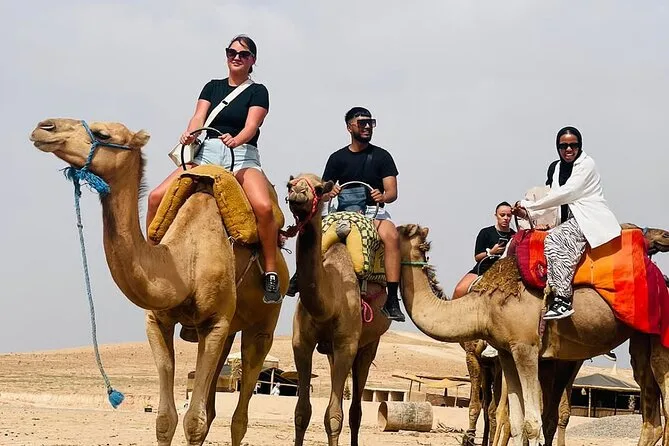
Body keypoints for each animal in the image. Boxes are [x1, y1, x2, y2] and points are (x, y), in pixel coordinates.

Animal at [30, 118, 289, 446]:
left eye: (103, 133)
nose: (44, 127)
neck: (184, 263)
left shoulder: (215, 322)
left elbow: (194, 421)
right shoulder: (159, 320)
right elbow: (166, 419)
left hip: (263, 325)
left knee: (239, 415)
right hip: (229, 330)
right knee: (213, 407)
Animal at [285, 174, 392, 446]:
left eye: (319, 188)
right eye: (289, 184)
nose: (298, 195)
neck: (329, 303)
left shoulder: (347, 345)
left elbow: (334, 416)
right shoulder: (301, 343)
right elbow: (302, 412)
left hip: (368, 345)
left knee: (355, 410)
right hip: (332, 351)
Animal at [397, 223, 669, 446]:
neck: (483, 306)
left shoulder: (525, 348)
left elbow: (531, 423)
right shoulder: (506, 352)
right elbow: (516, 423)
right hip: (640, 343)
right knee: (651, 417)